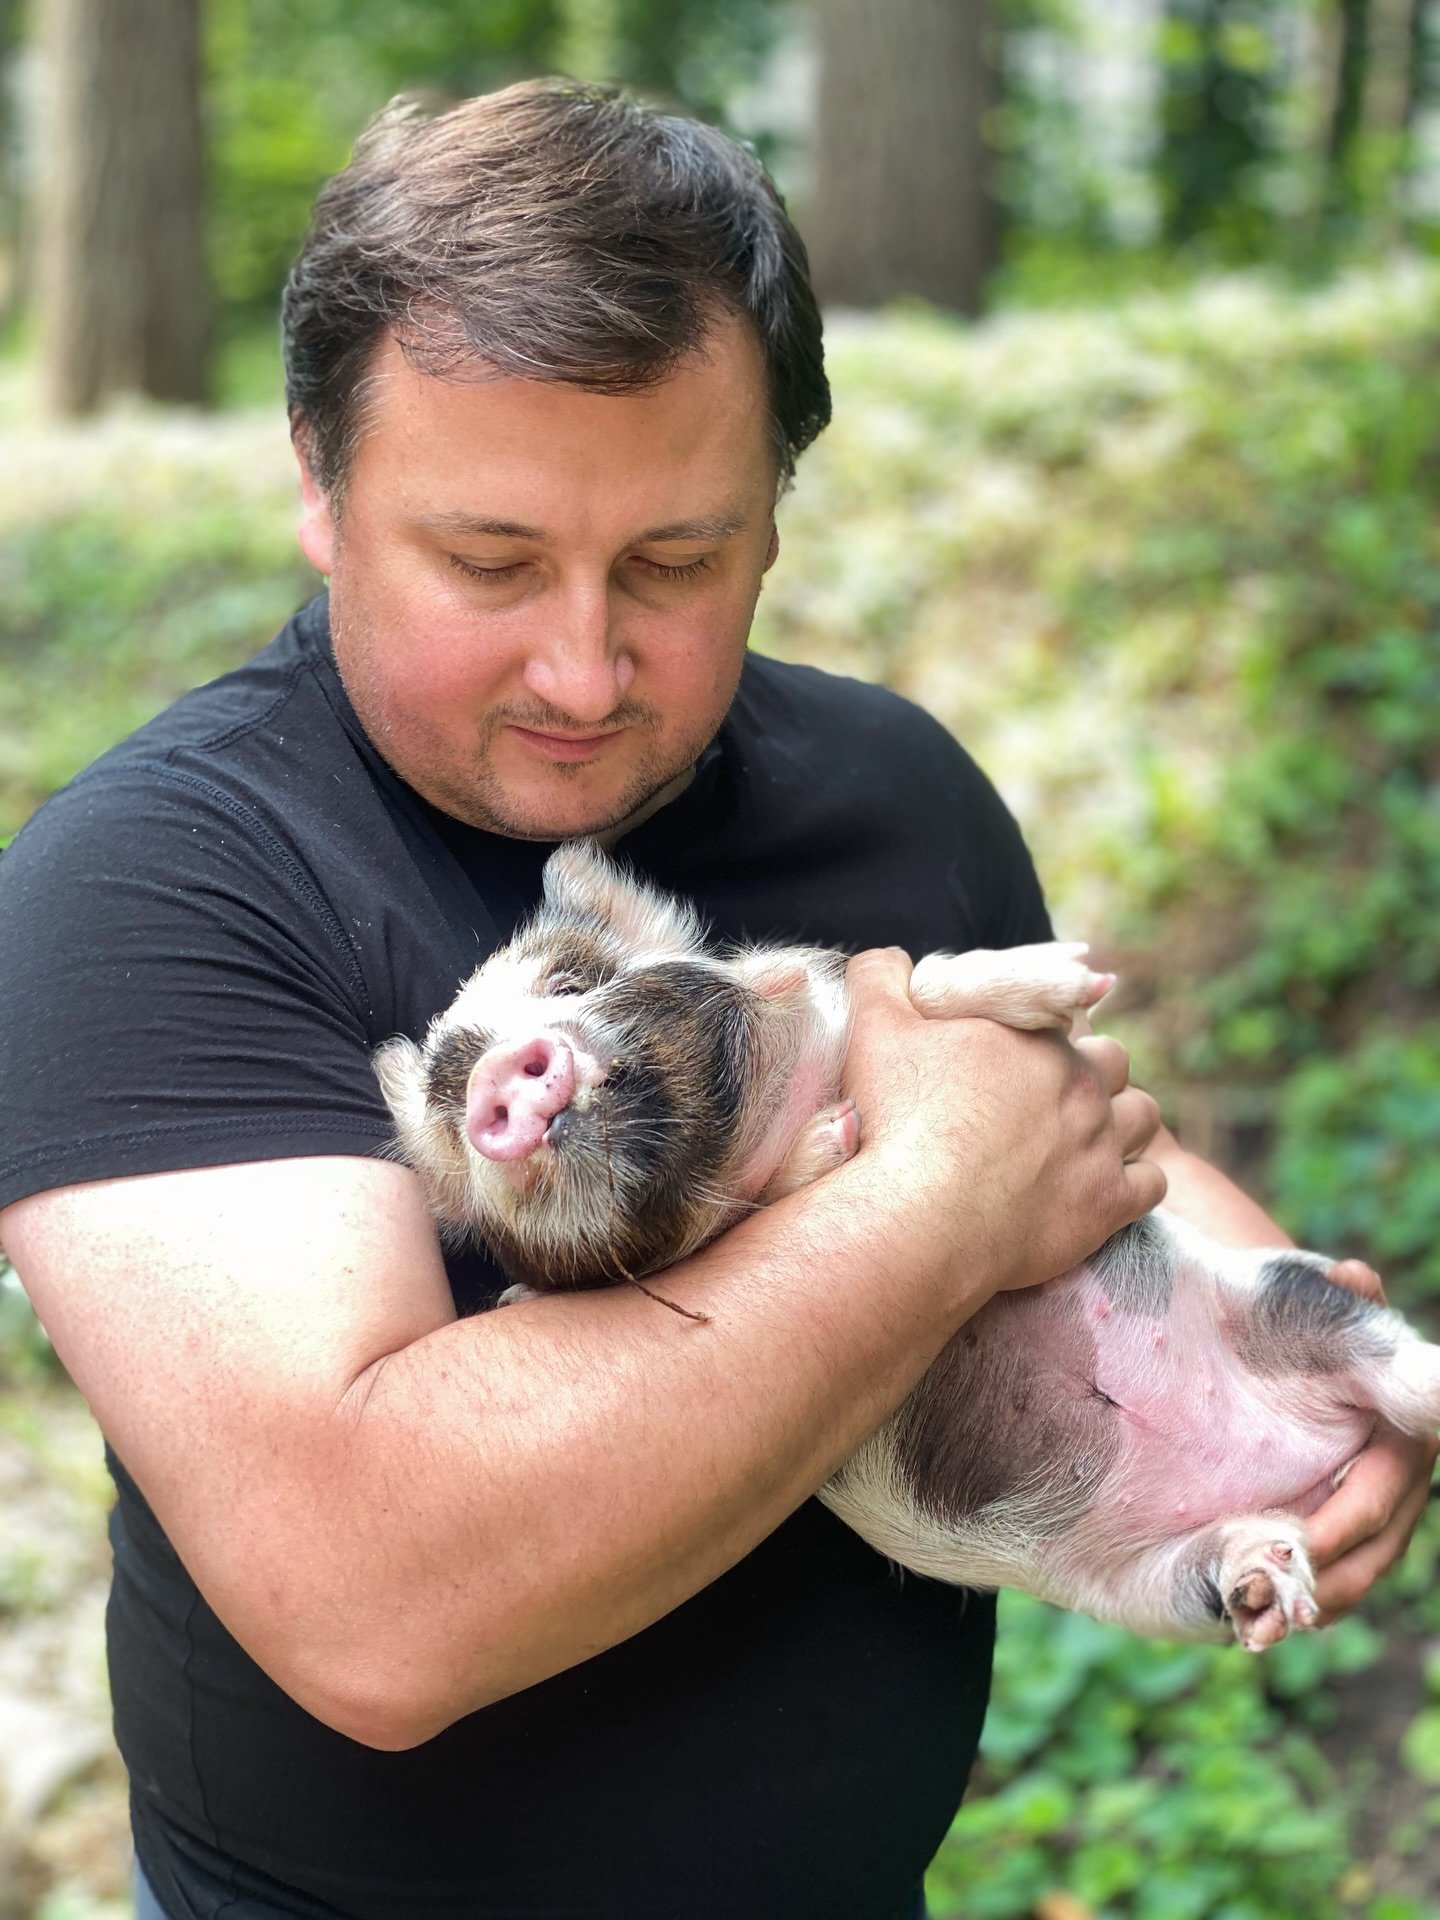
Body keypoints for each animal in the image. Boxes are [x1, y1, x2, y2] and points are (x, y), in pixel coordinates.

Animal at [375, 842, 1440, 1653]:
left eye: (575, 980)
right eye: (448, 1108)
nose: (494, 1085)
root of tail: (1311, 1457)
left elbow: (923, 979)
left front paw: (1075, 974)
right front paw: (834, 1143)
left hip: (1290, 1298)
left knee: (1401, 1367)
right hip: (1158, 1588)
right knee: (1233, 1578)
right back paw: (1266, 1586)